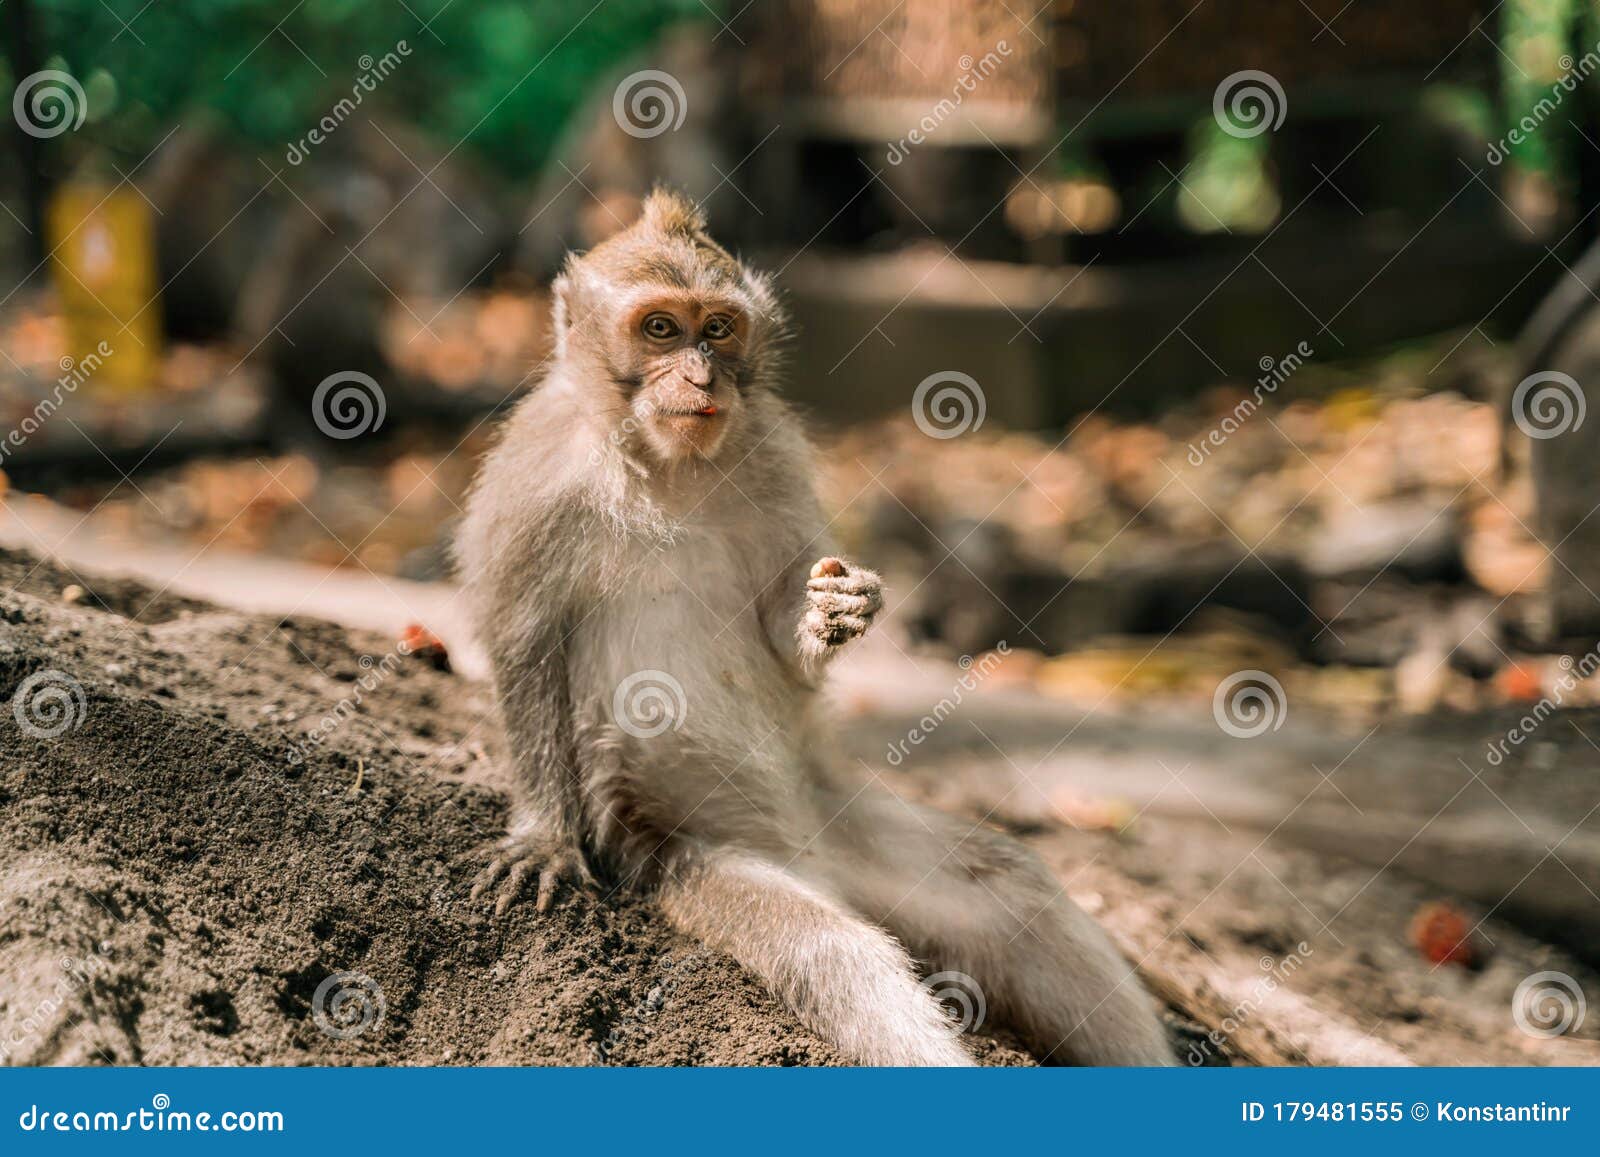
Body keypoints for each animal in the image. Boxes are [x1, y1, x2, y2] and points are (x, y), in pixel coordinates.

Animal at [454, 190, 1177, 1068]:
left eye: (718, 328)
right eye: (660, 328)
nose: (701, 375)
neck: (664, 464)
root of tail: (806, 853)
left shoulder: (774, 451)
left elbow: (779, 626)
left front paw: (833, 611)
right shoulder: (535, 475)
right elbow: (520, 640)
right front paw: (544, 835)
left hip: (838, 812)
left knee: (1013, 889)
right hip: (686, 856)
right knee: (838, 953)